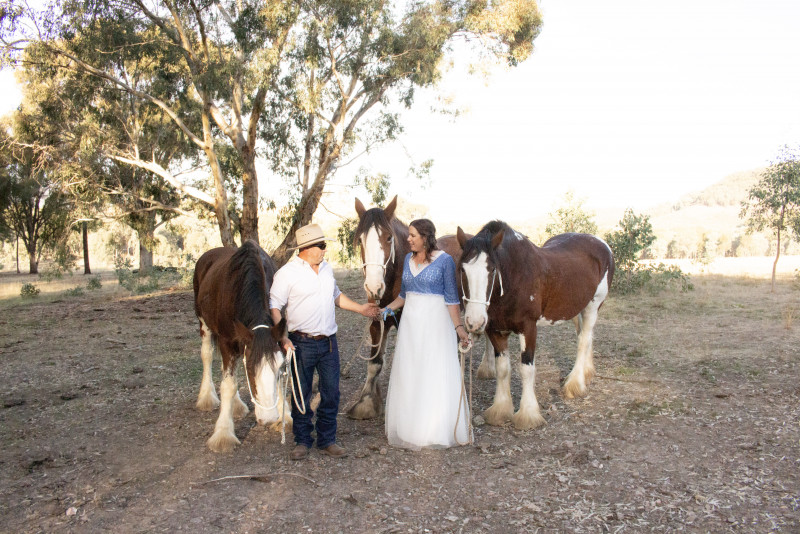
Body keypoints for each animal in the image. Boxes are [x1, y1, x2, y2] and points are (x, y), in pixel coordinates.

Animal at [348, 195, 496, 420]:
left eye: (389, 238)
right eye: (361, 241)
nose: (374, 287)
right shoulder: (377, 319)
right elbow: (374, 363)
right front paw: (366, 402)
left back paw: (487, 367)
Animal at [454, 222, 616, 432]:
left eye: (492, 269)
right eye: (462, 269)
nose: (475, 322)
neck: (515, 278)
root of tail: (602, 244)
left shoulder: (528, 328)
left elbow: (526, 369)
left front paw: (528, 415)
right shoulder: (496, 331)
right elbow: (502, 369)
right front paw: (500, 410)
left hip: (593, 305)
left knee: (583, 341)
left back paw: (575, 385)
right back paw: (586, 373)